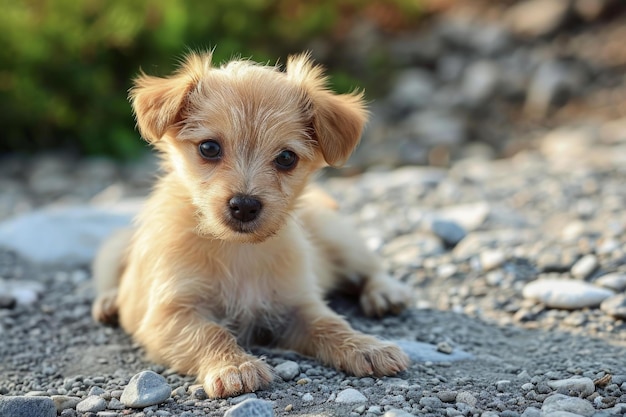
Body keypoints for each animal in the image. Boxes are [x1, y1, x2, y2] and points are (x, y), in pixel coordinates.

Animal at [91, 52, 410, 396]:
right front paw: (234, 366)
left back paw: (385, 293)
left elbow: (331, 324)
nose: (244, 205)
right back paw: (109, 301)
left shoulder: (297, 305)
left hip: (342, 240)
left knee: (372, 269)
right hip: (116, 245)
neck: (238, 250)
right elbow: (210, 333)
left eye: (286, 157)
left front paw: (367, 347)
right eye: (209, 148)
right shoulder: (168, 315)